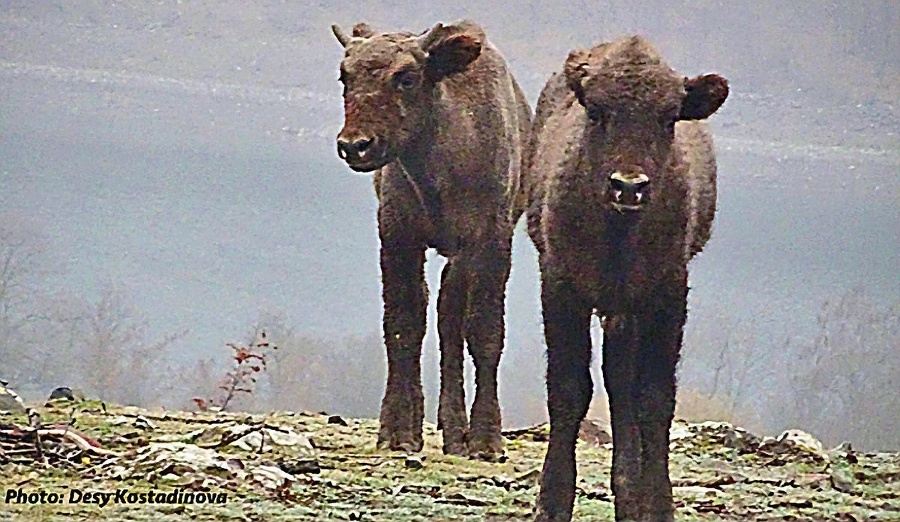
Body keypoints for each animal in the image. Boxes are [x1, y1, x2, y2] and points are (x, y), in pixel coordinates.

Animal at [330, 20, 532, 460]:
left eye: (406, 76)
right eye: (344, 75)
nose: (356, 146)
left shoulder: (490, 240)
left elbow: (484, 331)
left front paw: (486, 440)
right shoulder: (397, 234)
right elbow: (402, 325)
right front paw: (396, 431)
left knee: (449, 319)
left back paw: (457, 432)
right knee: (433, 313)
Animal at [524, 34, 728, 516]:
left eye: (669, 117)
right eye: (597, 112)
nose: (629, 186)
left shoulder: (666, 294)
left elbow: (654, 397)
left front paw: (657, 505)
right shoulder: (561, 287)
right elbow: (568, 388)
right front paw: (552, 502)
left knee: (623, 387)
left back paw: (629, 490)